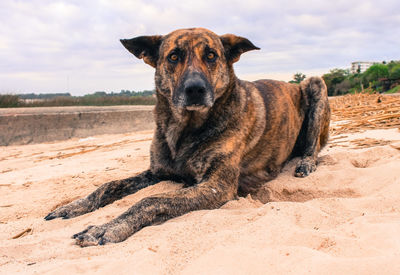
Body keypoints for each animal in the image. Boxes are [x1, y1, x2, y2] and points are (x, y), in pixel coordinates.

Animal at [44, 28, 332, 248]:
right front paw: (74, 206)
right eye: (173, 56)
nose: (195, 89)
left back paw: (305, 163)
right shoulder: (157, 172)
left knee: (313, 148)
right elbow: (108, 185)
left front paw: (107, 227)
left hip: (315, 84)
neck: (184, 129)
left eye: (211, 56)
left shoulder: (216, 186)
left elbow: (150, 200)